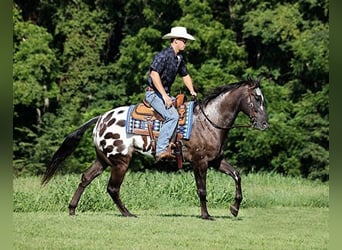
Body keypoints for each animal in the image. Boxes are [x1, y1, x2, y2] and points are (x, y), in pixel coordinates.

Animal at [41, 75, 268, 219]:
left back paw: (72, 209)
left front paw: (234, 208)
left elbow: (237, 175)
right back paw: (128, 213)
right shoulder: (200, 162)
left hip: (103, 159)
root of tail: (100, 118)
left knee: (86, 178)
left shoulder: (216, 161)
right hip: (121, 161)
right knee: (112, 188)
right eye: (257, 98)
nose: (265, 124)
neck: (209, 121)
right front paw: (206, 215)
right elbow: (202, 189)